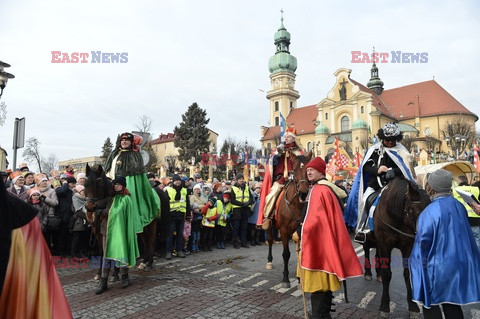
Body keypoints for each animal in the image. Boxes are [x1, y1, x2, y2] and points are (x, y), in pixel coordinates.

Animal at [266, 151, 312, 288]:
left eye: (308, 169)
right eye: (294, 170)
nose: (303, 192)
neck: (296, 205)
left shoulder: (300, 229)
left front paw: (300, 278)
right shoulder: (284, 231)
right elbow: (286, 254)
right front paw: (285, 278)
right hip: (270, 226)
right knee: (270, 240)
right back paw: (269, 261)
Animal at [360, 179, 432, 318]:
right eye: (417, 211)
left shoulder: (407, 247)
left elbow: (407, 274)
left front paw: (413, 307)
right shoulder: (385, 244)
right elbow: (387, 274)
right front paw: (384, 306)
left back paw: (378, 274)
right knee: (366, 251)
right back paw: (368, 273)